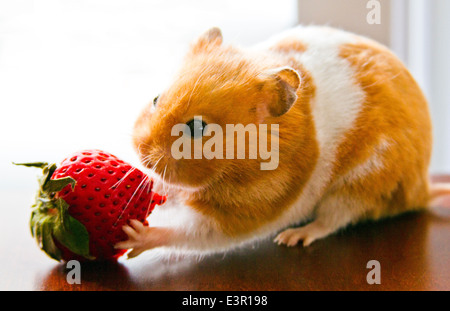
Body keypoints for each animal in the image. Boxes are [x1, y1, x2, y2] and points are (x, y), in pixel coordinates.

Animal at [114, 25, 448, 258]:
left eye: (197, 127)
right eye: (156, 99)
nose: (141, 154)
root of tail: (420, 189)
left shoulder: (252, 211)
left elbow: (195, 232)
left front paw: (133, 236)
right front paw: (156, 185)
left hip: (359, 185)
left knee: (333, 219)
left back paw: (293, 238)